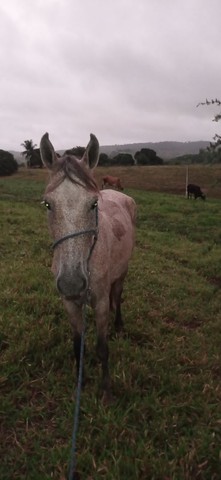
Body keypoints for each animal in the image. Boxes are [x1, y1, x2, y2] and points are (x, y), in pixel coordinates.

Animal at [40, 133, 136, 404]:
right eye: (47, 204)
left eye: (94, 204)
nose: (72, 283)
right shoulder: (70, 303)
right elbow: (77, 345)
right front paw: (79, 384)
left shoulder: (100, 302)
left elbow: (102, 348)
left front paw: (106, 391)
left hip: (122, 274)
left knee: (118, 295)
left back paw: (119, 325)